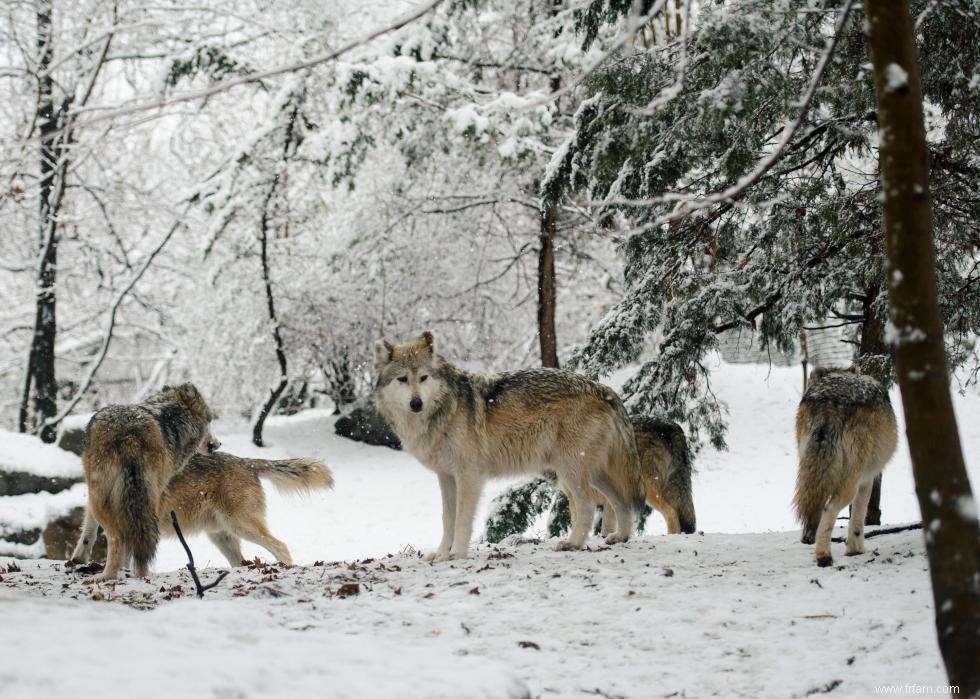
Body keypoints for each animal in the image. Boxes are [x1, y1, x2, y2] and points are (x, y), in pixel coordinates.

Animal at [70, 382, 219, 580]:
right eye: (210, 421)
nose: (218, 444)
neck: (171, 420)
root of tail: (130, 434)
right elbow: (90, 526)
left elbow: (89, 526)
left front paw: (79, 558)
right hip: (143, 498)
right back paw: (134, 574)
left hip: (108, 497)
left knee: (121, 537)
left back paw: (114, 575)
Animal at [71, 454, 334, 568]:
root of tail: (248, 462)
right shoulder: (95, 510)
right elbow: (87, 535)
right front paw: (77, 560)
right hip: (223, 537)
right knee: (242, 562)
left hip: (241, 526)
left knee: (281, 546)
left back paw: (286, 568)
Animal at [374, 330, 644, 564]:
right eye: (402, 379)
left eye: (423, 378)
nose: (416, 403)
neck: (444, 410)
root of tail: (601, 388)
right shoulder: (446, 476)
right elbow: (447, 519)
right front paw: (441, 554)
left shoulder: (469, 476)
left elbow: (462, 520)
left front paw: (457, 554)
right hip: (590, 473)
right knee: (621, 501)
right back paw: (620, 537)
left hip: (570, 473)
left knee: (587, 506)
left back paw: (573, 543)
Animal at [792, 370, 900, 568]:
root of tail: (830, 401)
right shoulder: (867, 479)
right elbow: (858, 516)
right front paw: (855, 550)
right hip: (851, 481)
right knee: (828, 509)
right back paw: (824, 557)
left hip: (807, 469)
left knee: (812, 507)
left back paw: (809, 539)